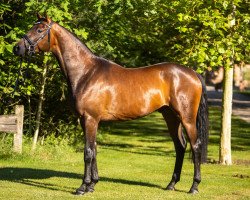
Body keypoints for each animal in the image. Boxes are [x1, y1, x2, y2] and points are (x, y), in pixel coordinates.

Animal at [13, 14, 209, 195]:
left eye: (39, 29)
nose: (17, 48)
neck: (86, 72)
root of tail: (192, 73)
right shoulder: (86, 121)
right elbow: (94, 149)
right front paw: (92, 185)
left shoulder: (90, 119)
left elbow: (88, 152)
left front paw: (82, 187)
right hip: (170, 116)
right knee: (180, 146)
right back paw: (171, 184)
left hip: (186, 118)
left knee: (195, 146)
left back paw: (194, 187)